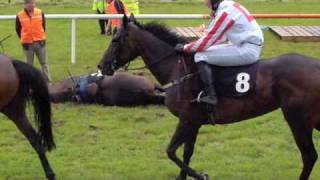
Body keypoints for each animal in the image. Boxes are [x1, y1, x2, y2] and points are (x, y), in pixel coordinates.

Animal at [98, 14, 320, 180]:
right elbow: (187, 151)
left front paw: (200, 175)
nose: (102, 66)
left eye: (115, 40)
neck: (178, 69)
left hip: (298, 120)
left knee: (309, 156)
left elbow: (171, 151)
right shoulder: (193, 122)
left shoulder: (187, 120)